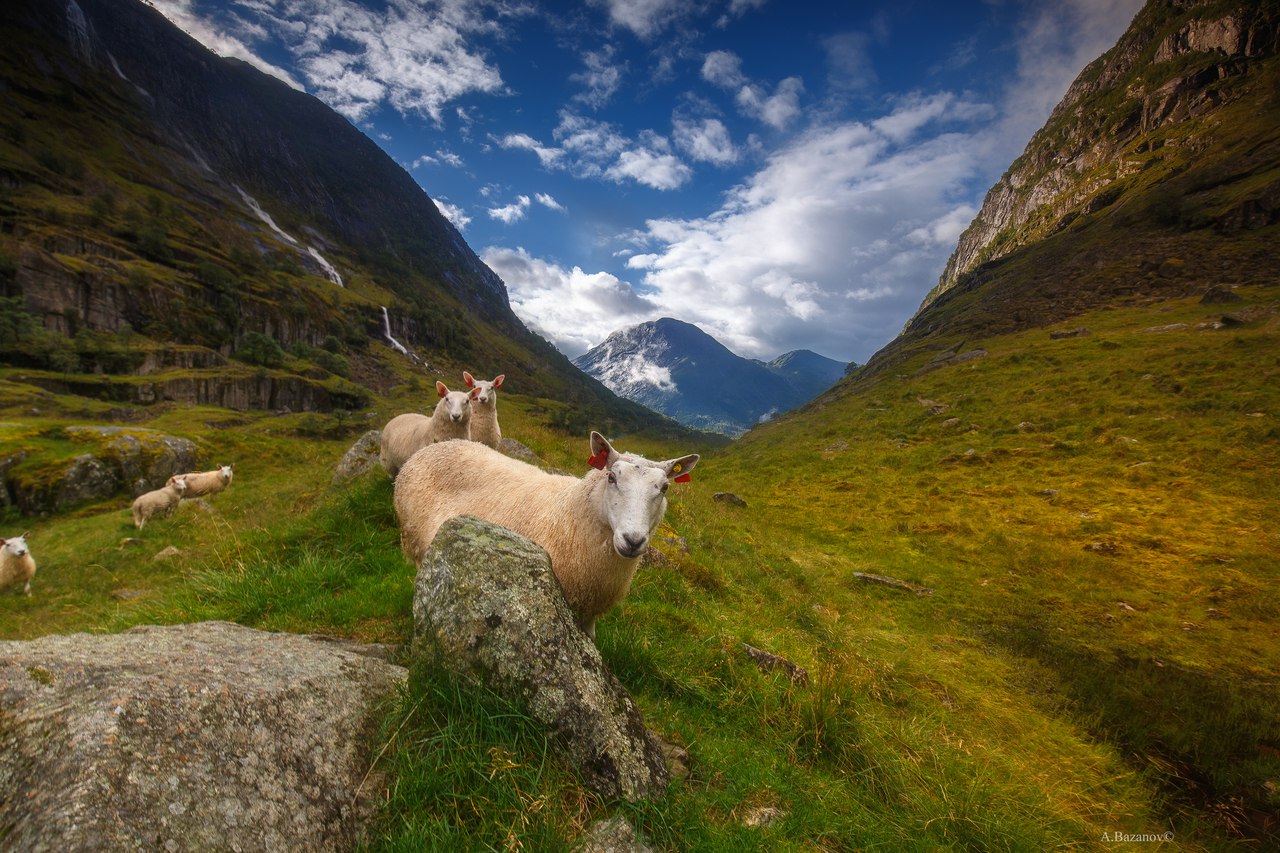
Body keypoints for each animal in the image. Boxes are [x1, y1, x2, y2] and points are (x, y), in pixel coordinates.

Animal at [396, 427, 701, 635]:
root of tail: (439, 445)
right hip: (416, 540)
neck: (569, 511)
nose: (633, 540)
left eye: (664, 488)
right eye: (612, 477)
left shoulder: (588, 612)